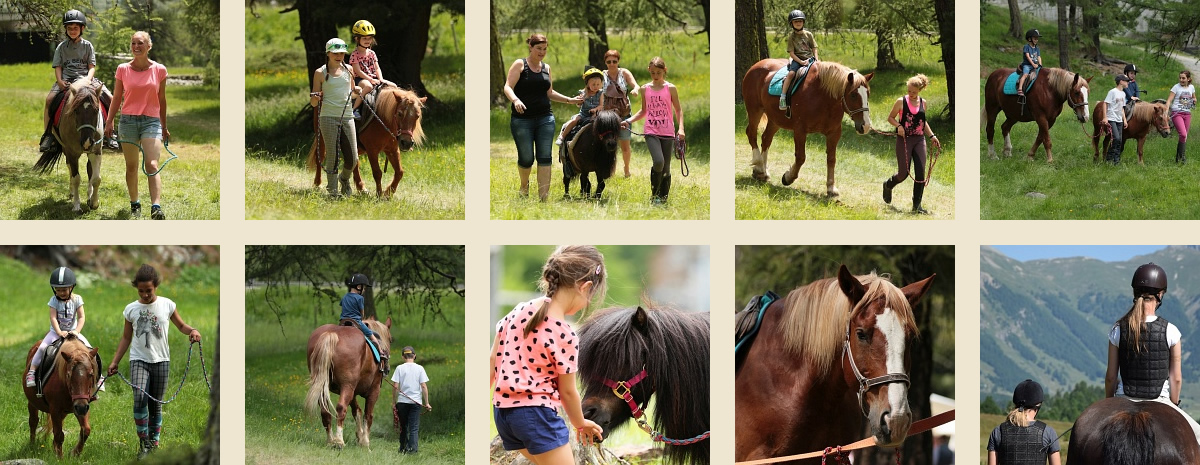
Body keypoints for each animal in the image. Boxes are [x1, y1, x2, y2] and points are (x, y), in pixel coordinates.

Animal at [304, 313, 393, 448]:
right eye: (390, 339)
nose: (387, 368)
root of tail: (331, 333)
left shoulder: (353, 392)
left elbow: (357, 411)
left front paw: (360, 436)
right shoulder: (374, 390)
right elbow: (368, 415)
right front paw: (365, 442)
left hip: (323, 385)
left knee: (325, 412)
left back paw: (330, 441)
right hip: (347, 386)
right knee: (341, 409)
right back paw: (339, 441)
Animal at [739, 58, 873, 196]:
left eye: (868, 94)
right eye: (853, 95)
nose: (866, 125)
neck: (823, 97)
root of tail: (756, 66)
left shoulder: (834, 133)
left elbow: (831, 159)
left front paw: (831, 187)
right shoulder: (800, 131)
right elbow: (801, 158)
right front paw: (788, 177)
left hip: (775, 120)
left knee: (766, 139)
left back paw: (762, 172)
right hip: (755, 110)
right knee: (751, 133)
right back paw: (759, 164)